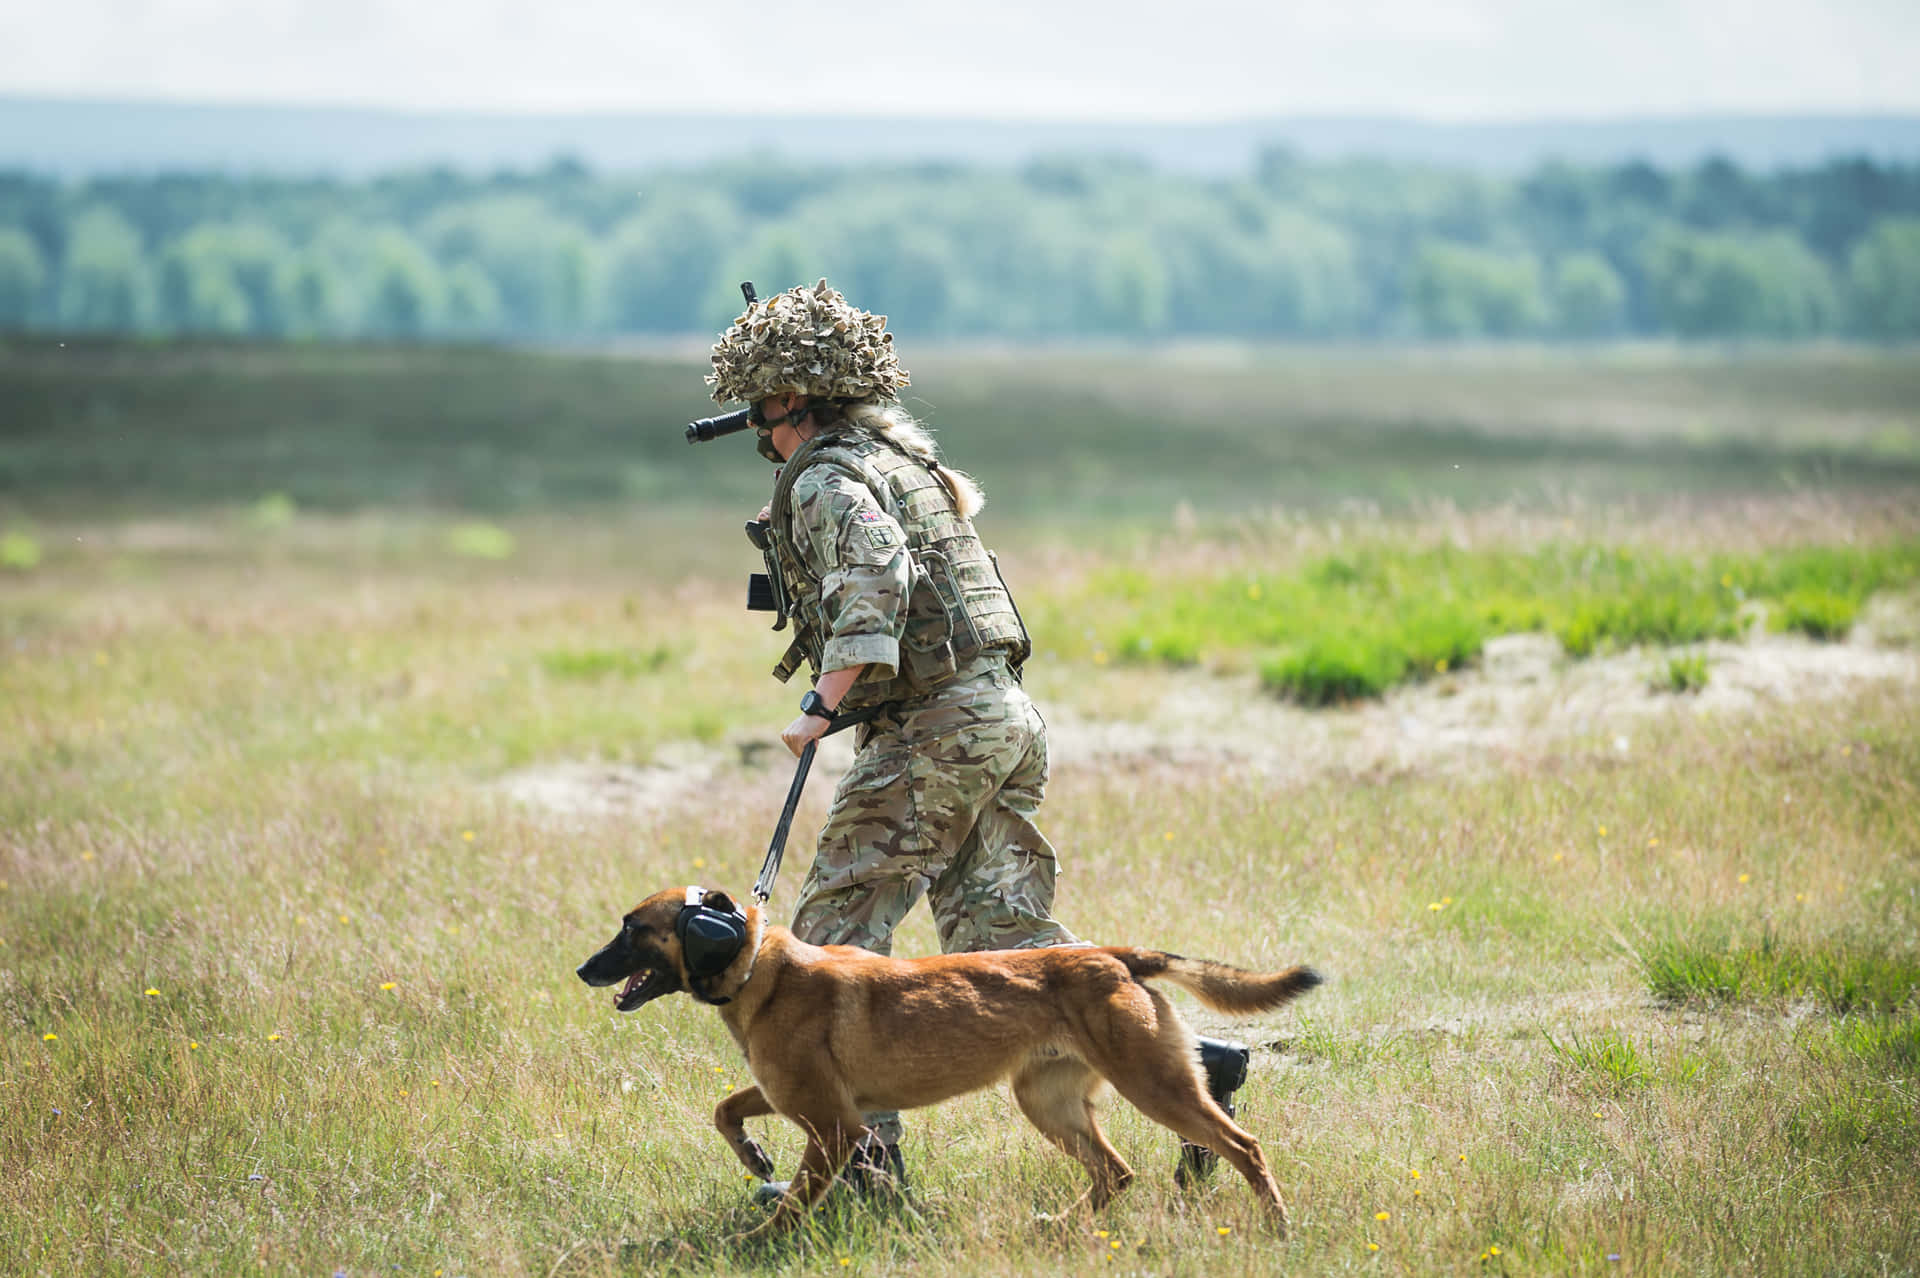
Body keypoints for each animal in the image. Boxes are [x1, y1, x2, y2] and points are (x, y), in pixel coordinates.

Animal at [572, 882, 1320, 1228]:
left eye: (633, 930)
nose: (582, 970)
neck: (757, 964)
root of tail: (1115, 957)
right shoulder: (804, 1101)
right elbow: (725, 1109)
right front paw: (754, 1157)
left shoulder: (832, 1123)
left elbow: (791, 1207)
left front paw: (754, 1243)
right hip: (1048, 1102)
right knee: (1117, 1173)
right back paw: (1059, 1227)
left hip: (1152, 1084)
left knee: (1243, 1146)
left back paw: (1278, 1226)